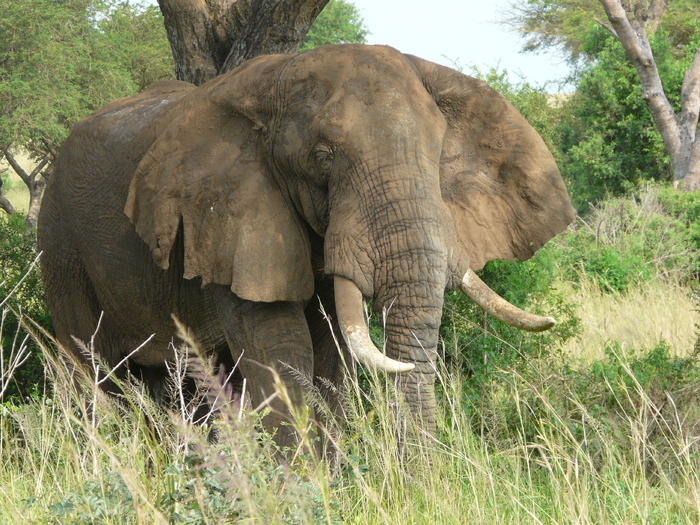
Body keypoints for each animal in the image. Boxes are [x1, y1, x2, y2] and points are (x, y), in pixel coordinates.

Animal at [38, 43, 576, 448]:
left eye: (438, 155)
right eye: (323, 157)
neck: (277, 80)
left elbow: (332, 354)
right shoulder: (228, 220)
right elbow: (282, 352)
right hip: (60, 245)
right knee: (93, 375)